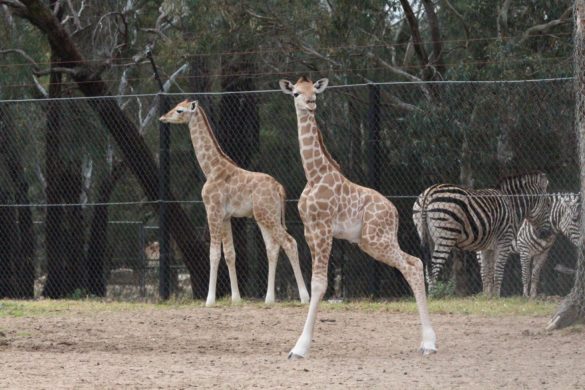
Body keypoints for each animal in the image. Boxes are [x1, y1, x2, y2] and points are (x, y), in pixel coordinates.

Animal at [157, 100, 308, 308]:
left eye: (179, 110)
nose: (163, 117)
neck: (211, 169)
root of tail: (279, 189)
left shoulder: (213, 211)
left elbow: (214, 253)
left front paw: (210, 300)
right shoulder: (226, 217)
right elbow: (230, 254)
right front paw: (236, 298)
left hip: (267, 216)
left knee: (290, 242)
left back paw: (305, 297)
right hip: (264, 217)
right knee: (272, 248)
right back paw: (269, 299)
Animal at [280, 77, 436, 360]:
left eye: (313, 91)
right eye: (296, 93)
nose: (310, 102)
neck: (314, 174)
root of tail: (395, 212)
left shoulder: (323, 228)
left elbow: (320, 284)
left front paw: (300, 348)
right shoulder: (309, 230)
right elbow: (315, 282)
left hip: (377, 240)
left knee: (412, 265)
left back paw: (430, 343)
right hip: (372, 241)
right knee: (415, 263)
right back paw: (425, 342)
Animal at [412, 172, 548, 298]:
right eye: (548, 207)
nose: (545, 235)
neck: (511, 203)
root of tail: (429, 192)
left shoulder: (487, 247)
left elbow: (487, 272)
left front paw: (487, 297)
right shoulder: (504, 240)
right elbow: (498, 270)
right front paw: (496, 297)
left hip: (426, 234)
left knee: (427, 267)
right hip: (445, 235)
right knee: (434, 266)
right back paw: (434, 296)